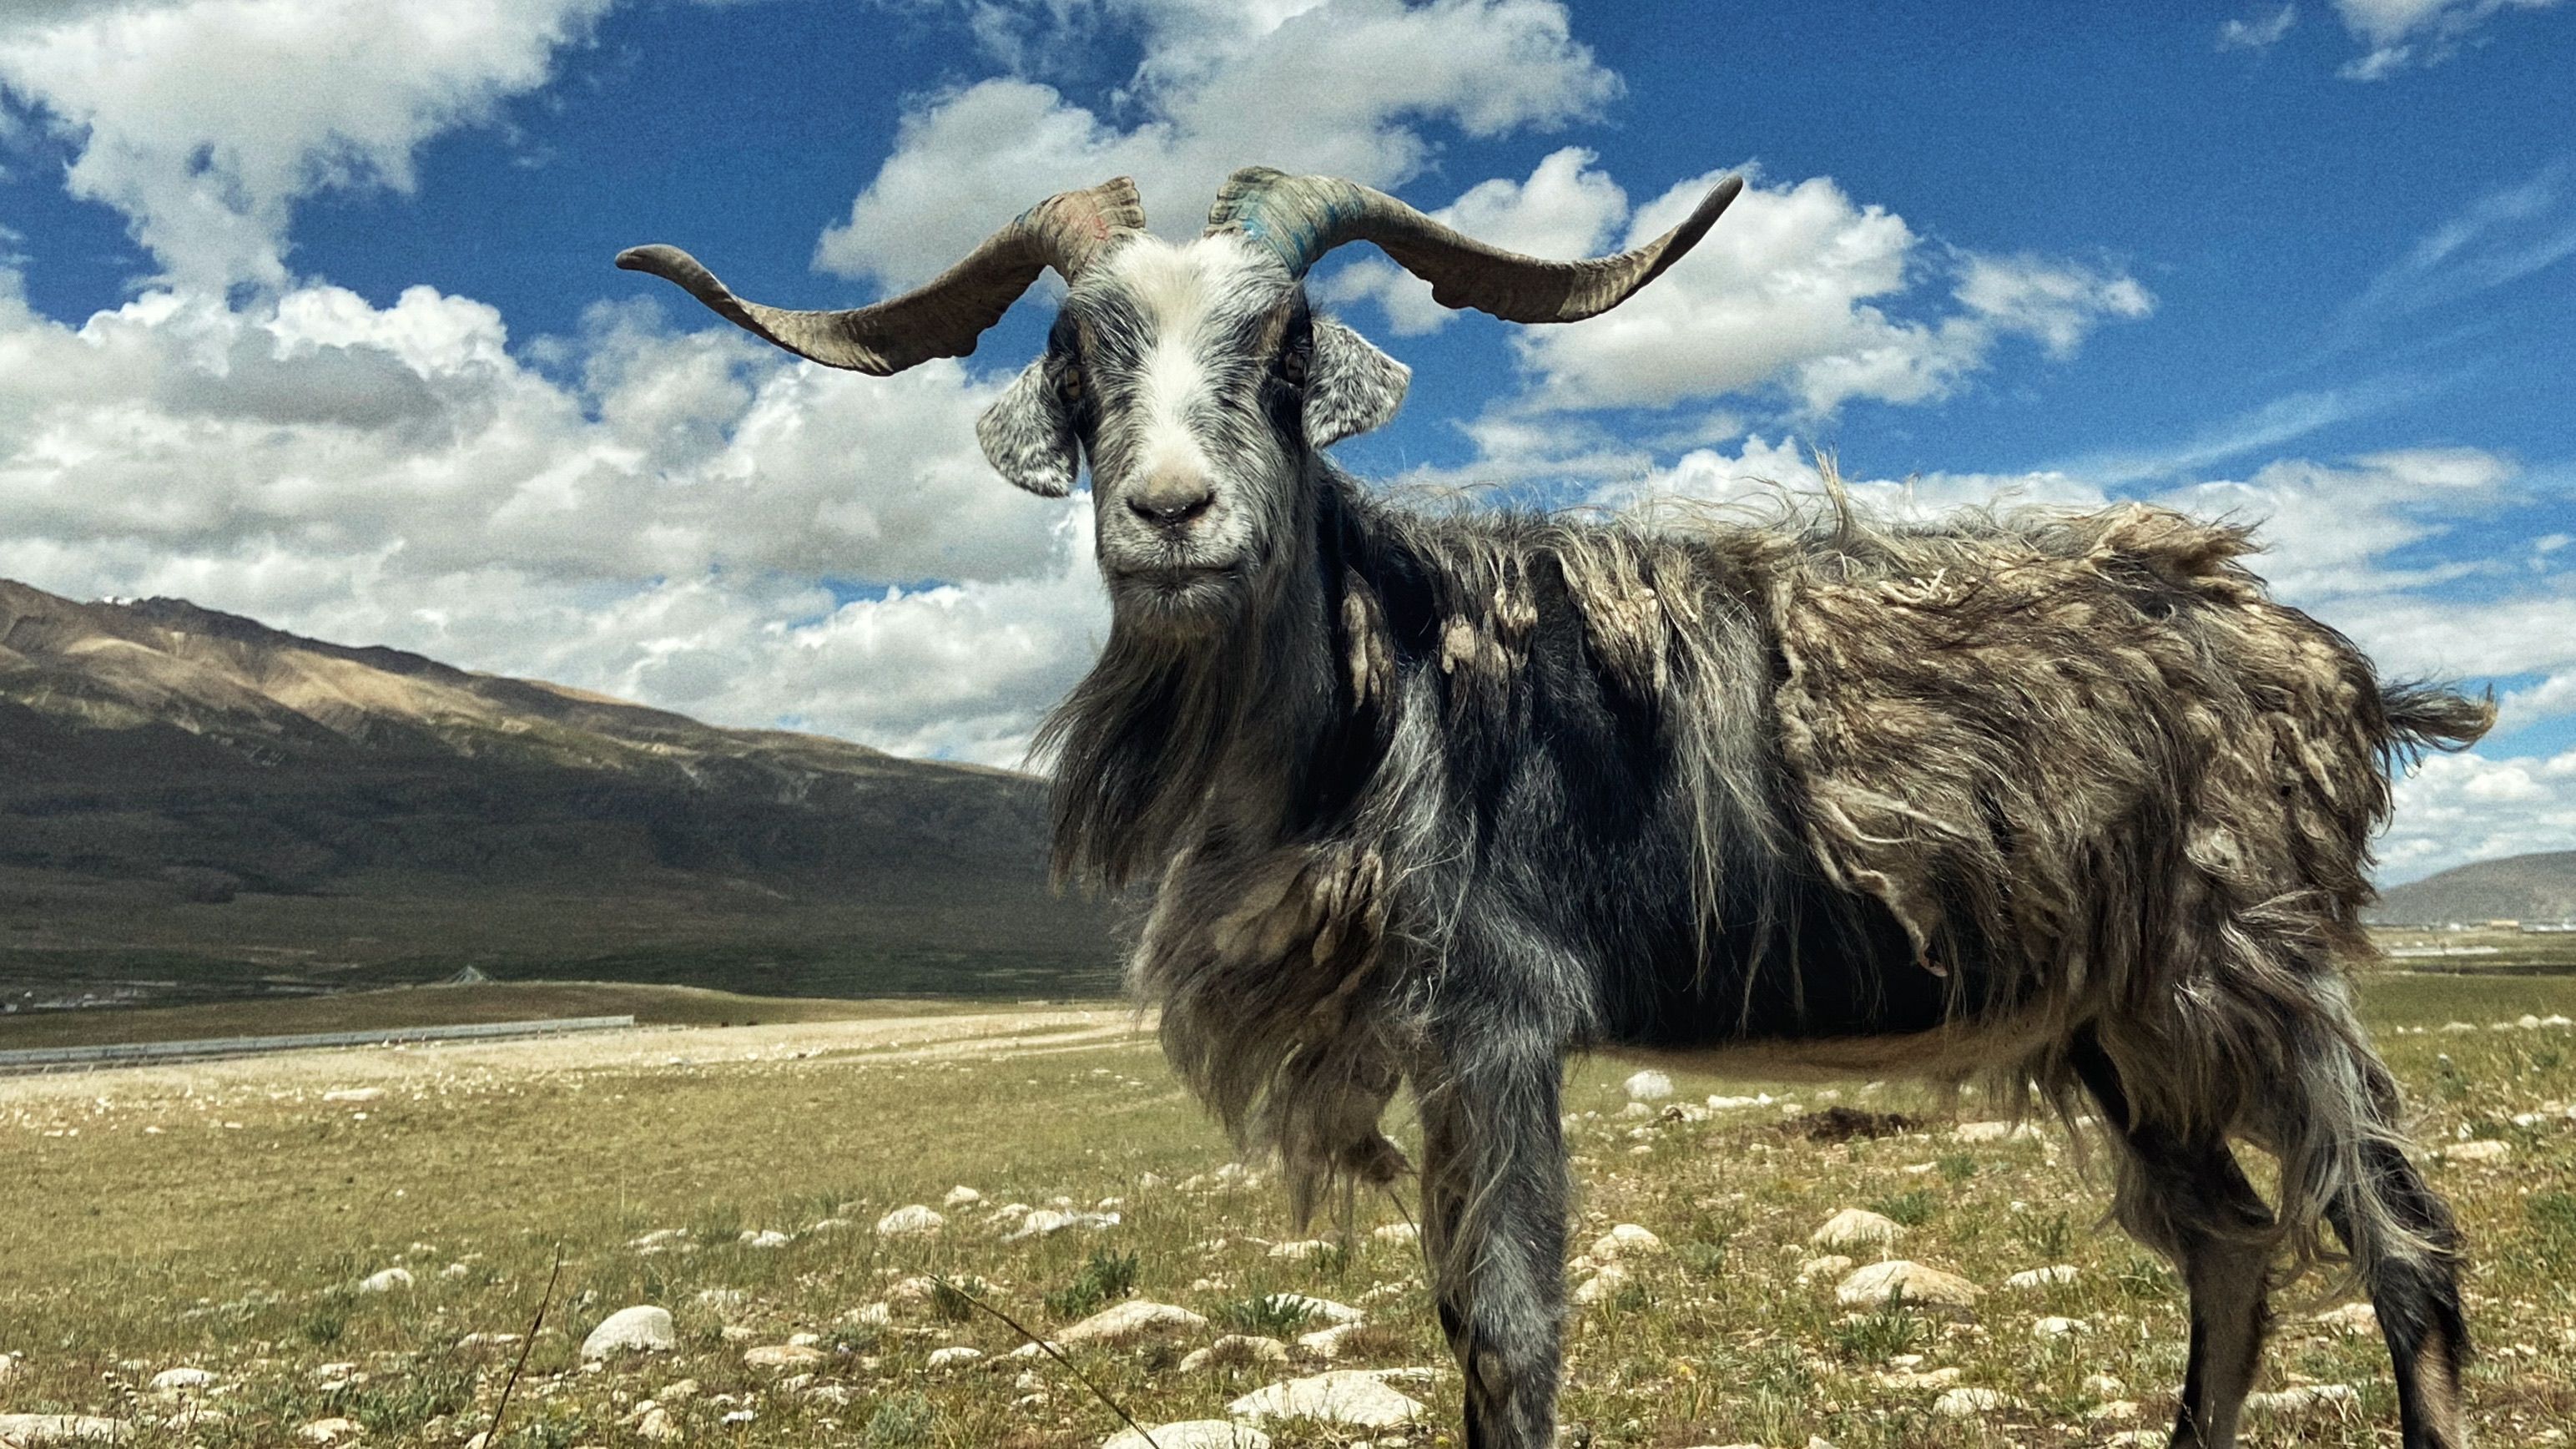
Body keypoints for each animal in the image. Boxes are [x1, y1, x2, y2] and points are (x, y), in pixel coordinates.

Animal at [620, 168, 2493, 1449]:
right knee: (2233, 1242)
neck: (1377, 681)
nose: (1172, 513)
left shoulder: (1497, 1012)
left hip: (2254, 963)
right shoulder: (1434, 1038)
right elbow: (1458, 1313)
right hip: (2114, 1014)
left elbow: (1510, 1325)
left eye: (1281, 345)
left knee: (2393, 1232)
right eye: (1079, 358)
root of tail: (2322, 663)